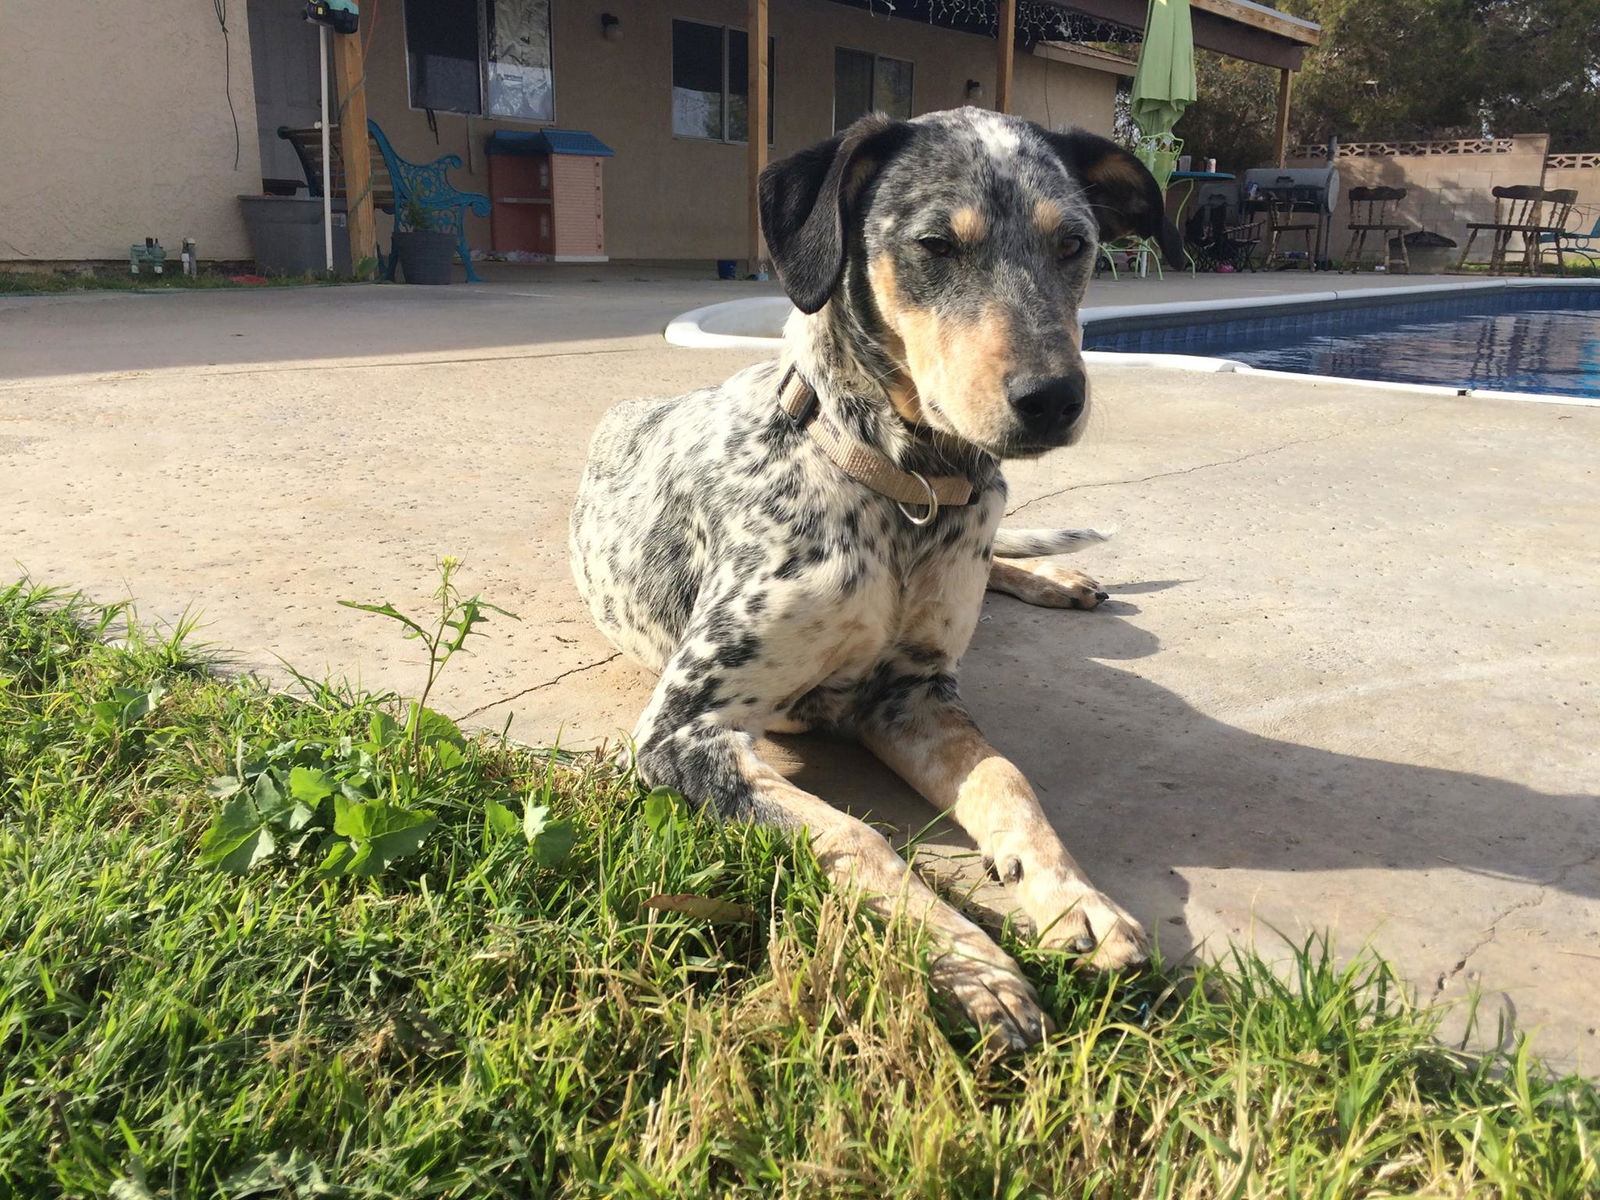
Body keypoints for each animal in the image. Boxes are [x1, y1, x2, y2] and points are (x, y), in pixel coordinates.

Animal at [569, 108, 1184, 1049]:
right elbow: (861, 840)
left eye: (1075, 245)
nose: (1055, 397)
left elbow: (1007, 781)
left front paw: (1077, 901)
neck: (906, 490)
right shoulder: (684, 733)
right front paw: (971, 966)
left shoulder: (910, 694)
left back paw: (1052, 573)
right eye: (935, 244)